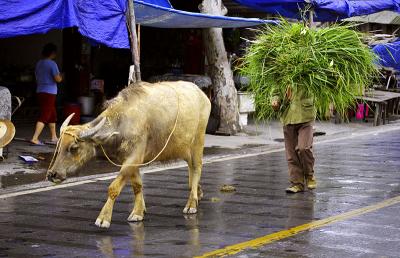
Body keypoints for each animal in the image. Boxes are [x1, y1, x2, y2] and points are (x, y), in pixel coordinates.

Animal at [47, 80, 211, 228]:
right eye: (59, 146)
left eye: (74, 147)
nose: (52, 174)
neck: (122, 123)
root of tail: (202, 94)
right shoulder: (131, 161)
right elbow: (137, 185)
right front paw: (138, 212)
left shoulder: (133, 158)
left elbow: (113, 188)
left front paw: (103, 218)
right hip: (185, 148)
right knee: (191, 170)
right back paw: (198, 193)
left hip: (198, 142)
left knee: (196, 168)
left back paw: (191, 204)